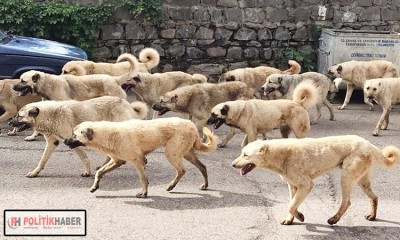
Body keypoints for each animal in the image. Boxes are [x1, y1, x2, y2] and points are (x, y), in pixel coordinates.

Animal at [10, 96, 148, 178]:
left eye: (19, 116)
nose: (10, 123)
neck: (51, 115)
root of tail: (125, 102)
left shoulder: (73, 142)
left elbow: (84, 158)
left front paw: (87, 172)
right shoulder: (52, 142)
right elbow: (43, 160)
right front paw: (35, 172)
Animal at [64, 118, 217, 199]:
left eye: (74, 135)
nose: (64, 141)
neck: (108, 134)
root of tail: (191, 125)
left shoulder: (137, 161)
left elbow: (143, 179)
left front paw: (144, 193)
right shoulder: (117, 161)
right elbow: (99, 172)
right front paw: (95, 187)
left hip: (172, 153)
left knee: (182, 170)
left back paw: (171, 185)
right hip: (186, 153)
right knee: (203, 167)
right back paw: (204, 185)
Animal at [231, 136, 400, 226]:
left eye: (245, 155)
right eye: (241, 153)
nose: (232, 164)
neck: (282, 155)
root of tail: (368, 143)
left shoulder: (306, 185)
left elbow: (291, 205)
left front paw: (299, 216)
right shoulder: (292, 186)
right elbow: (292, 204)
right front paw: (291, 219)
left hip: (346, 177)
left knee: (347, 202)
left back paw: (334, 219)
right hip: (361, 181)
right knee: (374, 197)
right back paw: (372, 216)